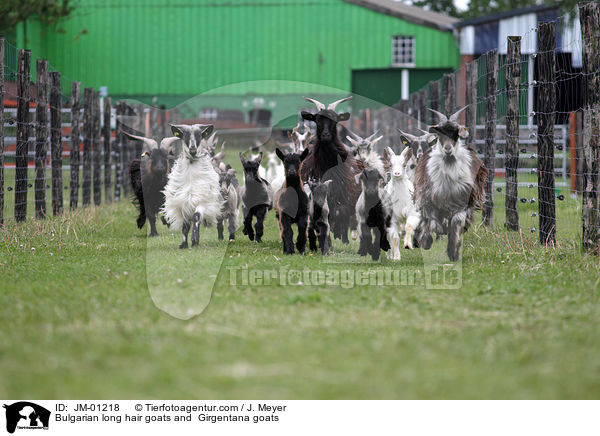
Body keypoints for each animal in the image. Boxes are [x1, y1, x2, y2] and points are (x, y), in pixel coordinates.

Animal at [300, 96, 360, 245]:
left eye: (335, 120)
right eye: (317, 120)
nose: (326, 135)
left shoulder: (344, 196)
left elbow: (341, 213)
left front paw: (342, 238)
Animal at [414, 107, 490, 260]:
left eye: (456, 133)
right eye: (439, 132)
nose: (448, 149)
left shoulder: (463, 203)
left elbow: (456, 224)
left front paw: (453, 251)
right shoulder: (429, 200)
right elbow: (433, 224)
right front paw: (427, 240)